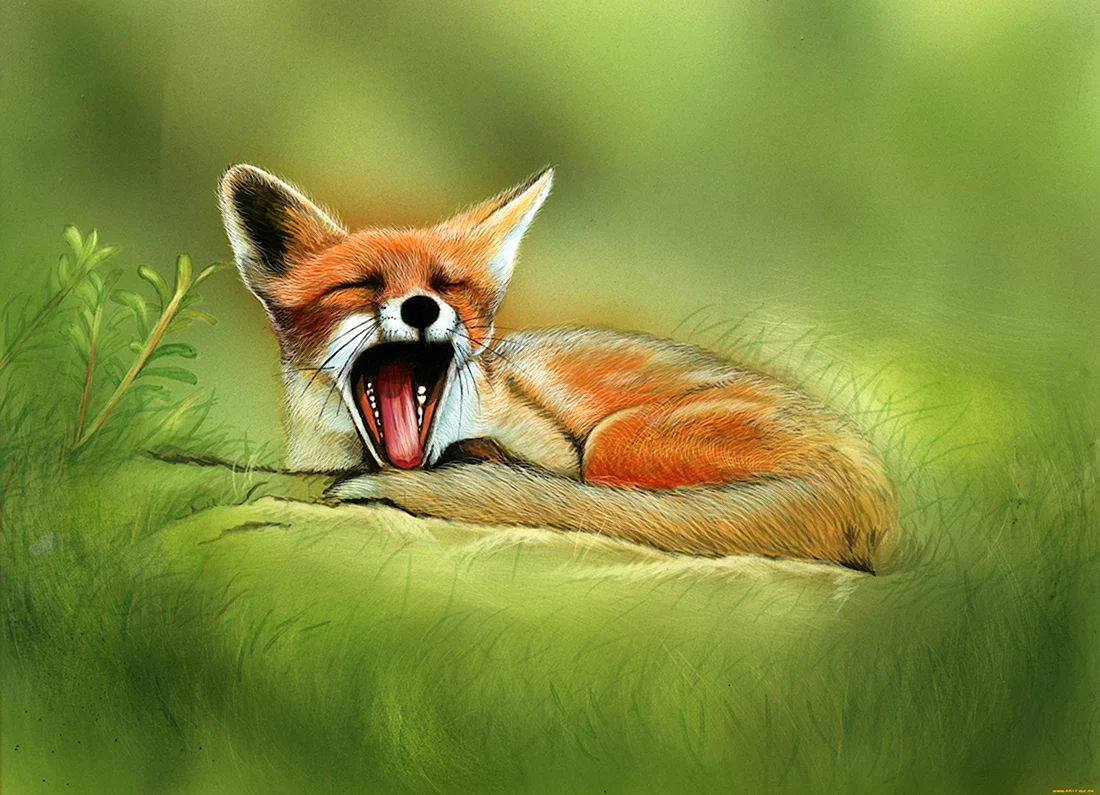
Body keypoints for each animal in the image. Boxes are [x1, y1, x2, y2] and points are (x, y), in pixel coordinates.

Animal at [218, 164, 896, 572]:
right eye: (359, 285)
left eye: (448, 284)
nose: (421, 307)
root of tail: (876, 490)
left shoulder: (557, 447)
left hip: (614, 442)